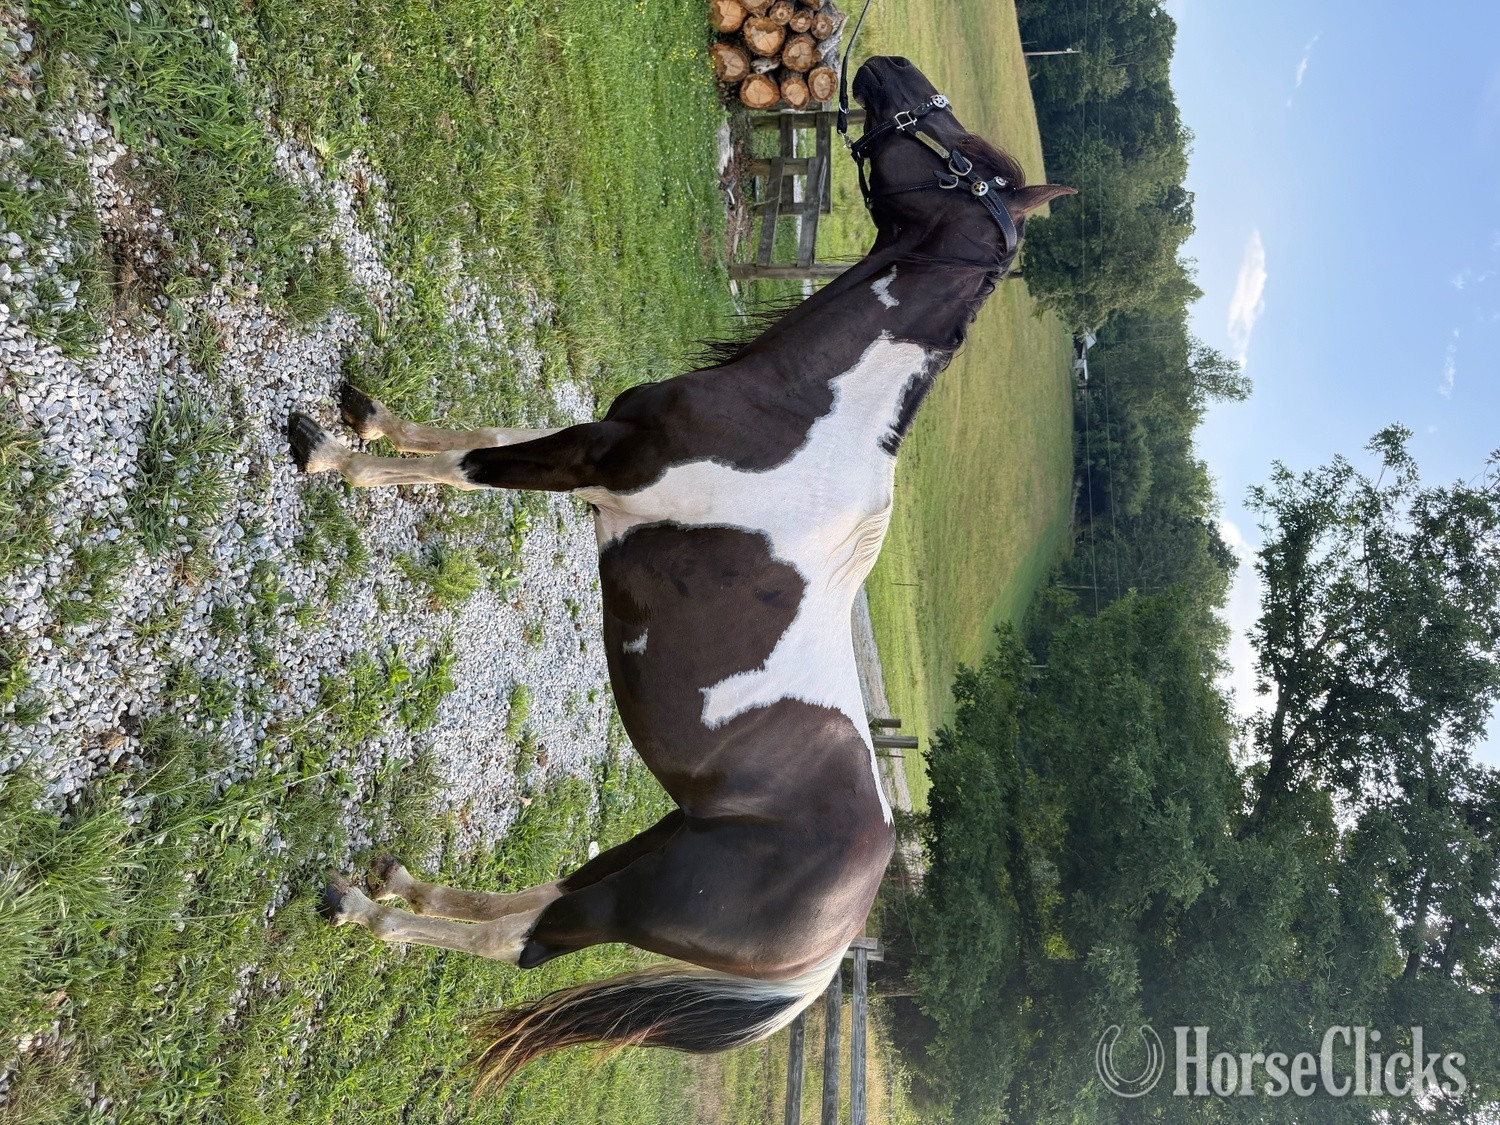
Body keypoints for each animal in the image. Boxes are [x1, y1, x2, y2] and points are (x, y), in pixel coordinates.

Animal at [287, 54, 1073, 1089]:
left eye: (964, 155)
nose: (886, 66)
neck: (797, 418)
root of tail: (836, 946)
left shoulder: (599, 464)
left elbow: (466, 465)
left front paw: (333, 457)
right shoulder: (595, 452)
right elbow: (474, 436)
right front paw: (368, 418)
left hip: (649, 898)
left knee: (527, 940)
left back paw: (369, 910)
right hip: (660, 844)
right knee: (547, 896)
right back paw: (401, 880)